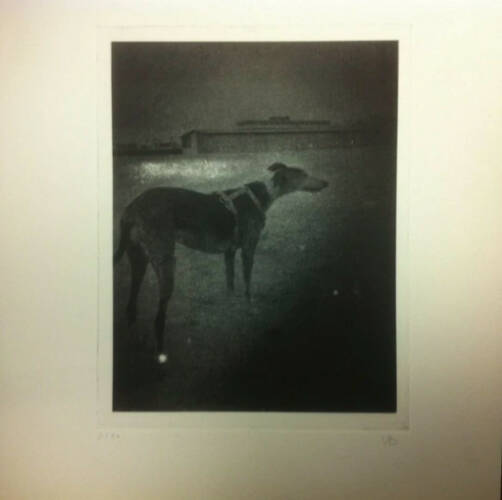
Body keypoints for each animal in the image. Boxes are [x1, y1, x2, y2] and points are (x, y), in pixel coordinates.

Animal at [114, 162, 328, 364]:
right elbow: (247, 285)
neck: (264, 193)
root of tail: (131, 209)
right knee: (158, 320)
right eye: (303, 174)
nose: (326, 183)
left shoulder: (230, 252)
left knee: (131, 309)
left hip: (139, 261)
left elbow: (230, 285)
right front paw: (250, 308)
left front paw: (231, 310)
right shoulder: (248, 249)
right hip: (166, 264)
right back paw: (160, 355)